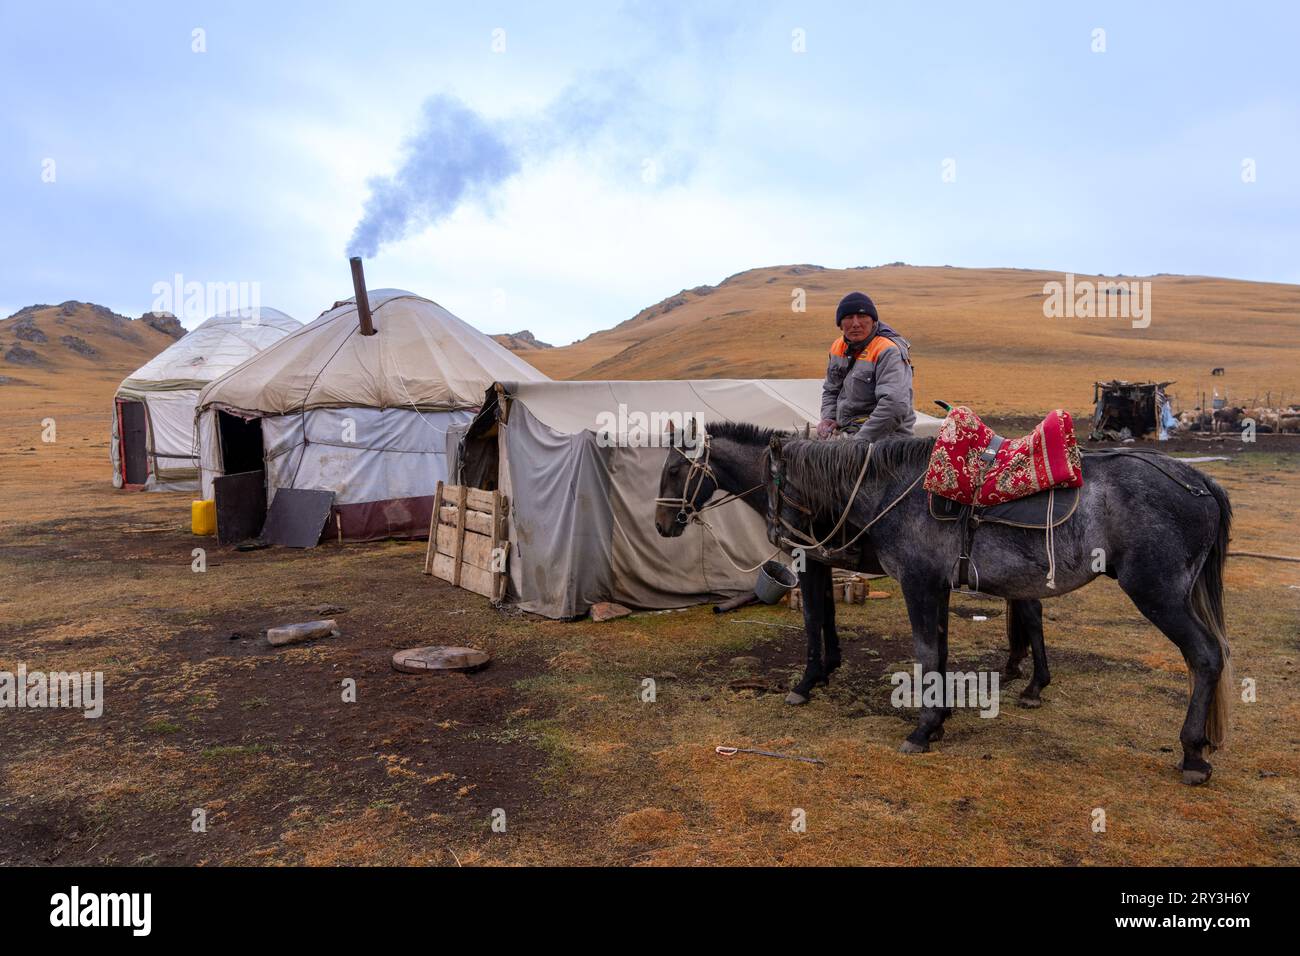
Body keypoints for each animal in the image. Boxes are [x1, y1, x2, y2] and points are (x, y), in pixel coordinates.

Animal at [655, 421, 1050, 712]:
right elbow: (827, 612)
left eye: (674, 469)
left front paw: (807, 681)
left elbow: (813, 616)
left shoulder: (807, 559)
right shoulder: (824, 560)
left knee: (1031, 611)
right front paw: (829, 666)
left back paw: (1035, 685)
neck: (781, 485)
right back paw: (1015, 669)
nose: (661, 525)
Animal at [764, 434, 1232, 785]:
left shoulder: (918, 584)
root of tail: (1198, 481)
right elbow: (940, 653)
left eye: (773, 486)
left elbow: (926, 653)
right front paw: (939, 721)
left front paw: (923, 729)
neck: (896, 491)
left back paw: (1193, 752)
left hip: (1158, 593)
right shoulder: (937, 588)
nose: (781, 539)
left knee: (1206, 656)